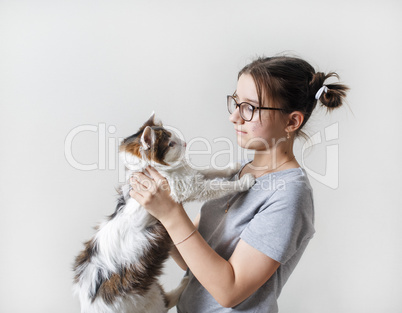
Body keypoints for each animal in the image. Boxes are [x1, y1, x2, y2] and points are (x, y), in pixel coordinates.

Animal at [73, 112, 254, 312]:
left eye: (173, 137)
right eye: (171, 144)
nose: (185, 143)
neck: (150, 170)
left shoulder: (188, 177)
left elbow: (208, 170)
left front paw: (232, 167)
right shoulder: (191, 188)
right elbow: (217, 186)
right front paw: (243, 182)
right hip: (150, 298)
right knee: (167, 302)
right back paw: (185, 282)